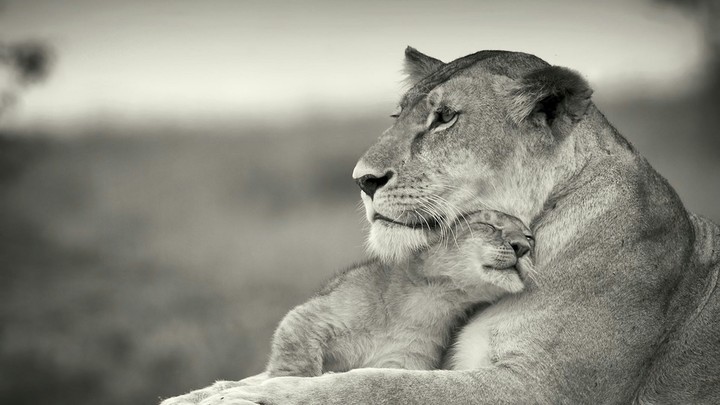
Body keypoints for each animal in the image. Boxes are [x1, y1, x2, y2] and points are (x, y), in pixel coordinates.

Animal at [160, 48, 720, 404]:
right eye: (398, 115)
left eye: (445, 118)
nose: (362, 180)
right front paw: (210, 391)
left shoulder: (543, 388)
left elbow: (378, 387)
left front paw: (264, 394)